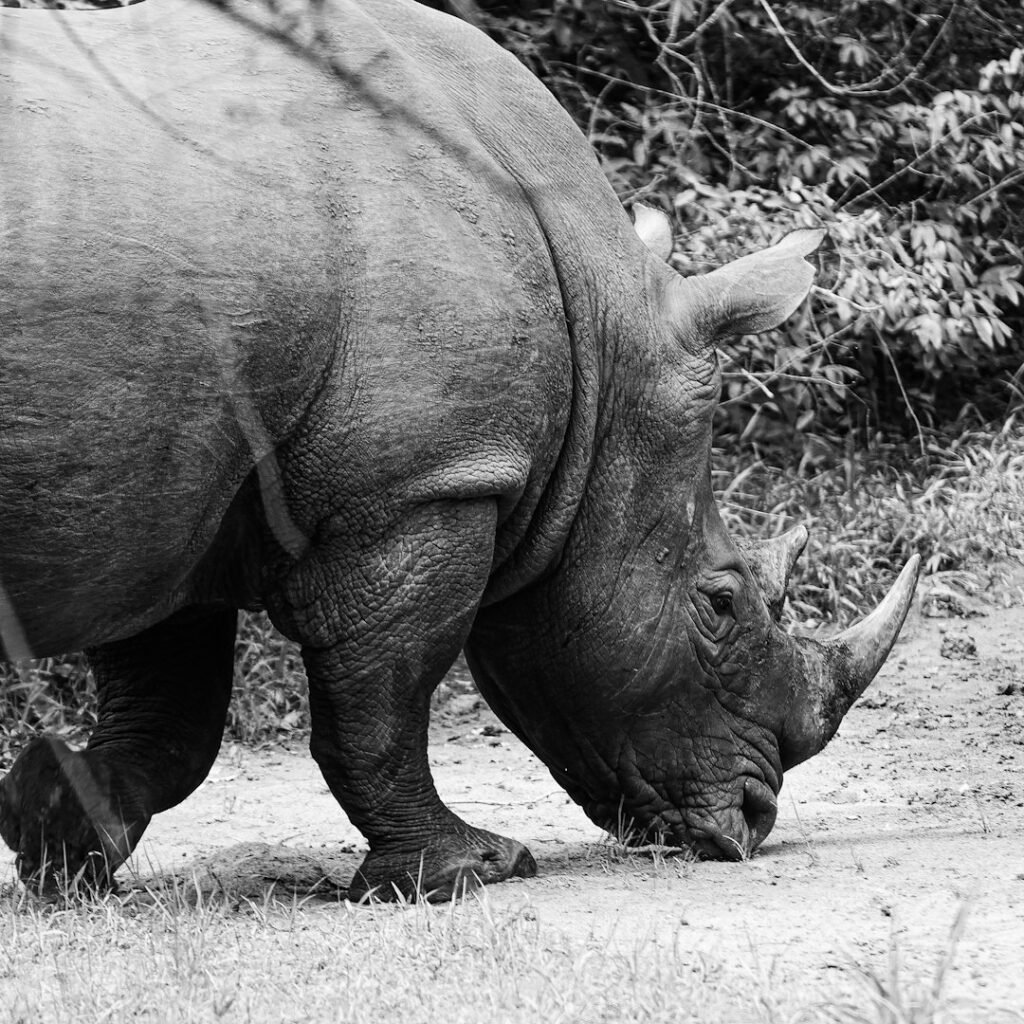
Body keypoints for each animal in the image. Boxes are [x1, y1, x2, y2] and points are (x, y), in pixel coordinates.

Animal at [0, 0, 918, 901]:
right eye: (721, 604)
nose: (752, 821)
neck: (602, 342)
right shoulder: (423, 486)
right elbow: (380, 700)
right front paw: (471, 870)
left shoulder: (173, 492)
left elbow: (171, 716)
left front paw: (58, 827)